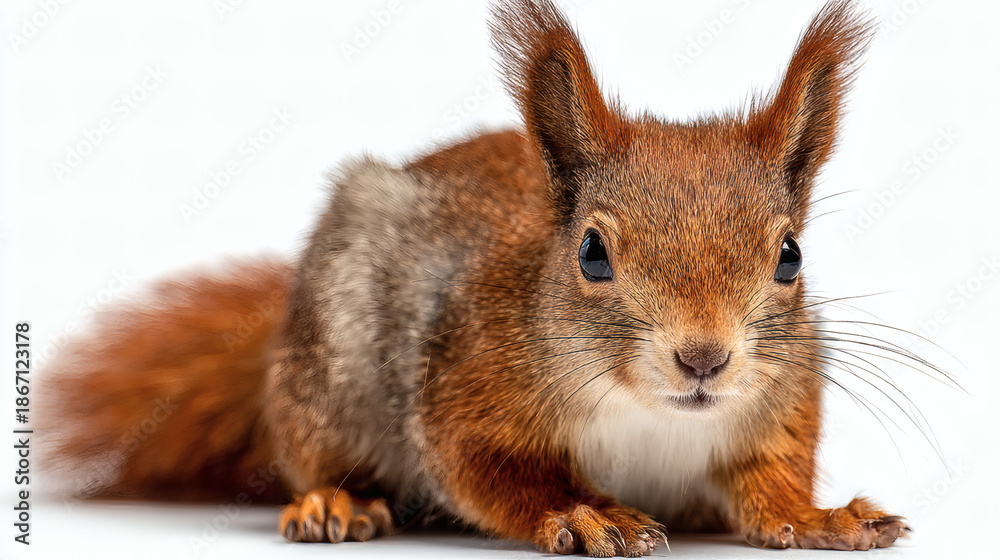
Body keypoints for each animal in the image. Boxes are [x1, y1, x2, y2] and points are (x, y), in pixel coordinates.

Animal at [40, 0, 914, 555]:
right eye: (591, 253)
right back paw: (333, 499)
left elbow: (770, 482)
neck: (648, 411)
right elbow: (486, 469)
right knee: (318, 454)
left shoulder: (779, 403)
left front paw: (820, 516)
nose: (704, 359)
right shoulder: (468, 385)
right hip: (329, 374)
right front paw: (581, 511)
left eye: (790, 255)